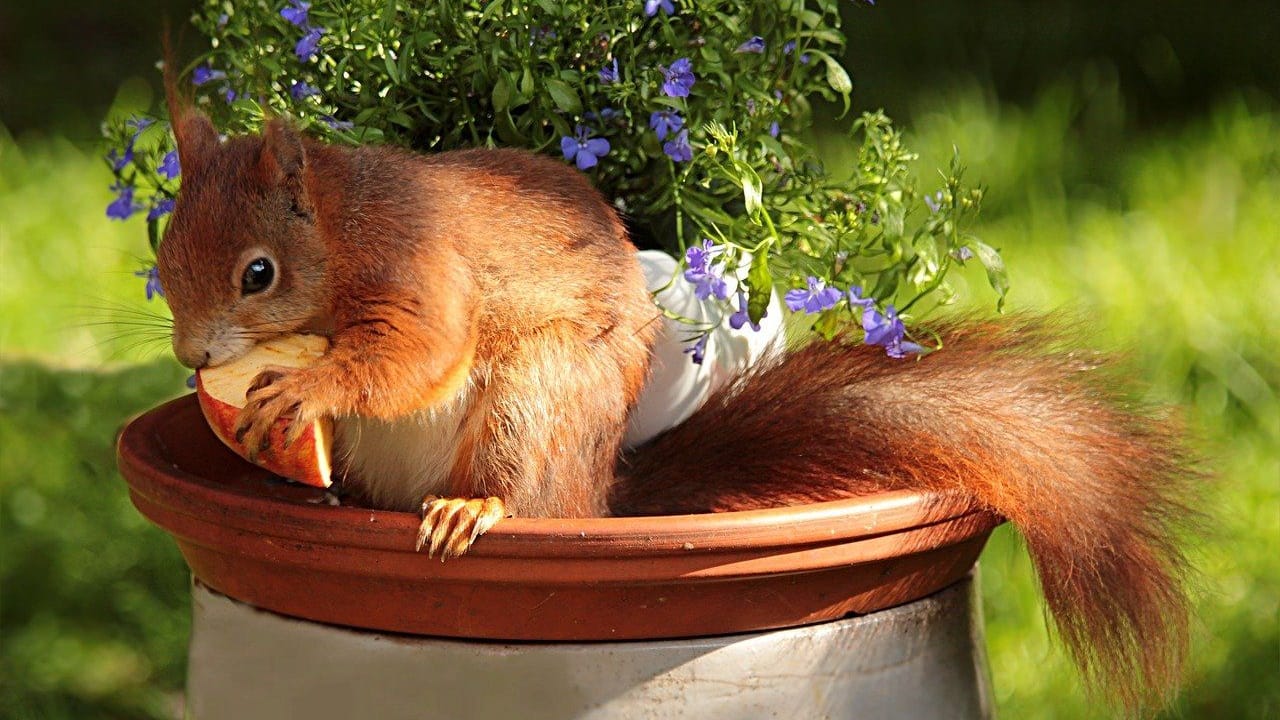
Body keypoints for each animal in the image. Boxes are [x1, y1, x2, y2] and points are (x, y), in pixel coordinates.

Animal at [154, 89, 1192, 707]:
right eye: (163, 255)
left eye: (257, 273)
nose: (194, 355)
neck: (338, 229)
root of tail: (595, 495)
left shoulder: (418, 270)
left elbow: (413, 353)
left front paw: (307, 385)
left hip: (538, 395)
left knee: (519, 487)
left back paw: (472, 508)